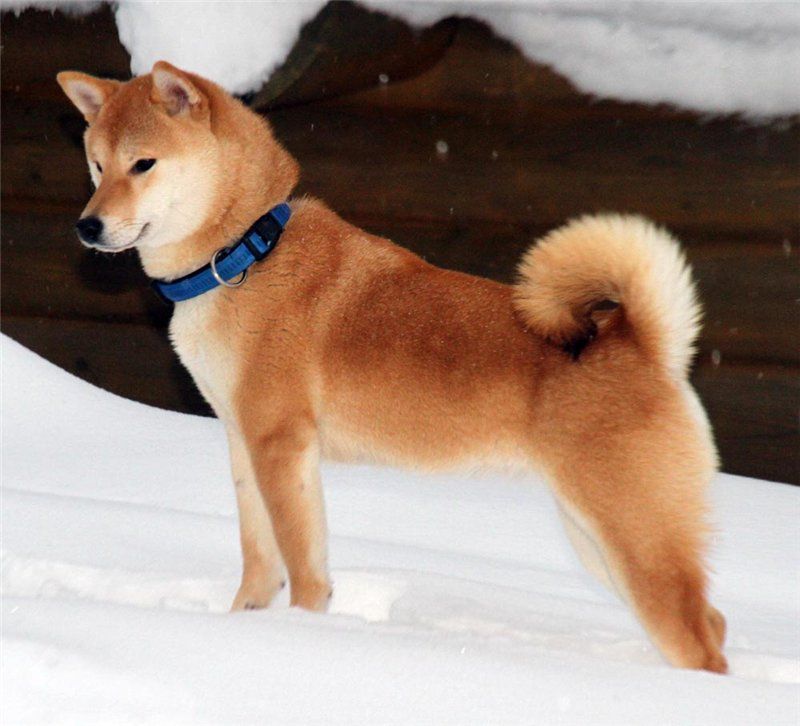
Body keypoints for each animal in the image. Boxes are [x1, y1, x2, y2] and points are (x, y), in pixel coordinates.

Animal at [57, 61, 727, 673]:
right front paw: (243, 625)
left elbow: (304, 567)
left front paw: (299, 634)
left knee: (697, 637)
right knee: (711, 623)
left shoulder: (281, 444)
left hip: (632, 537)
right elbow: (259, 560)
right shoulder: (243, 442)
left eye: (143, 164)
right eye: (97, 165)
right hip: (595, 542)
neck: (243, 253)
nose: (87, 225)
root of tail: (644, 344)